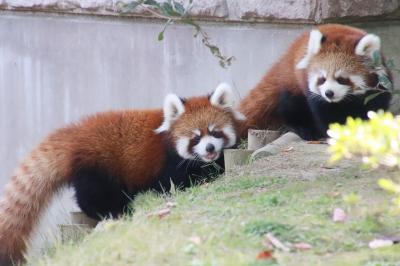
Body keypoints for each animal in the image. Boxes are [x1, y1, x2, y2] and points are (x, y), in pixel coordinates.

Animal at [0, 83, 244, 264]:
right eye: (196, 138)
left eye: (214, 132)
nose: (209, 148)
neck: (168, 138)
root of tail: (75, 136)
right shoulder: (170, 165)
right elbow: (177, 182)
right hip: (98, 167)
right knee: (93, 196)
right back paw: (114, 211)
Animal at [239, 24, 392, 140]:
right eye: (322, 79)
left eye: (341, 79)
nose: (329, 93)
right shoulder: (317, 96)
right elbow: (325, 113)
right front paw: (336, 132)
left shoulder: (378, 86)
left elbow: (374, 106)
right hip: (293, 83)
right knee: (291, 105)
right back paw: (304, 130)